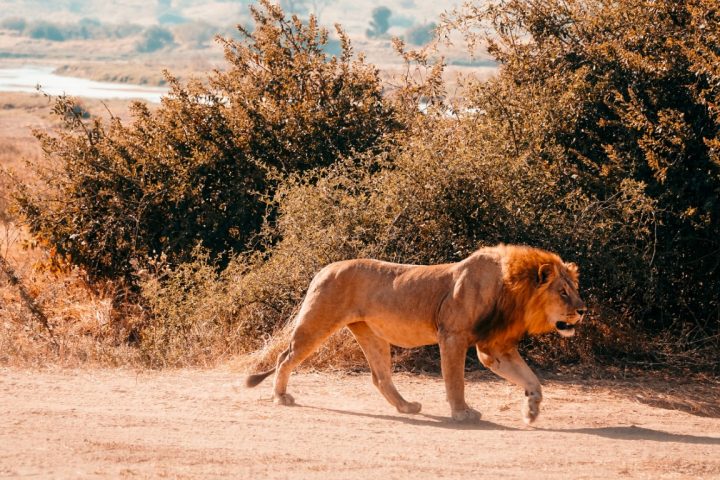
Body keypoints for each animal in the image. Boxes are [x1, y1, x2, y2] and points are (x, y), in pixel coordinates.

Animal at [246, 246, 584, 422]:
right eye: (563, 292)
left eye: (574, 289)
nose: (582, 310)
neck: (511, 289)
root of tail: (324, 268)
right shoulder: (453, 336)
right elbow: (456, 381)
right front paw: (462, 412)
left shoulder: (494, 347)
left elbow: (532, 379)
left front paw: (532, 409)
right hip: (318, 321)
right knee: (284, 357)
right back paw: (280, 397)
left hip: (371, 334)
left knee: (380, 377)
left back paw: (406, 407)